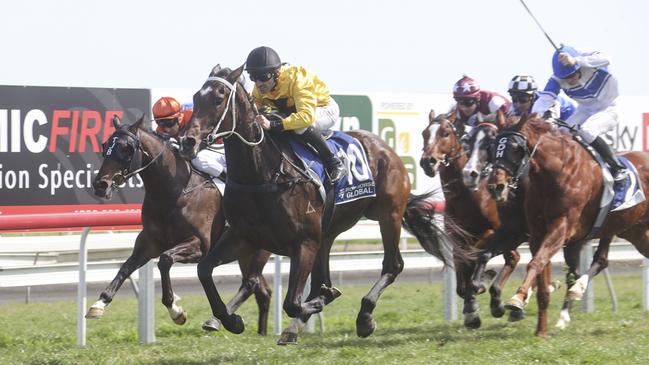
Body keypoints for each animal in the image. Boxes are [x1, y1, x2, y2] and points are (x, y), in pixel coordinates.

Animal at [88, 115, 270, 334]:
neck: (174, 191)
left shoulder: (200, 245)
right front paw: (99, 303)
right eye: (105, 145)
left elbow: (165, 260)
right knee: (262, 290)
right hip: (244, 250)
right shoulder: (149, 242)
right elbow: (126, 267)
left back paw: (223, 321)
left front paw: (175, 309)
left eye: (127, 148)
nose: (100, 185)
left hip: (261, 247)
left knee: (251, 282)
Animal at [178, 64, 450, 342]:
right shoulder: (243, 236)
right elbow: (204, 270)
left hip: (389, 214)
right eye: (196, 98)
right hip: (328, 233)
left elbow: (293, 302)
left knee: (393, 265)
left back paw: (364, 317)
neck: (263, 174)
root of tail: (387, 149)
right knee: (323, 278)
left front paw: (321, 301)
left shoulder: (304, 242)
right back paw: (297, 326)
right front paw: (230, 320)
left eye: (218, 98)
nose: (187, 141)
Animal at [420, 111, 532, 328]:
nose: (427, 162)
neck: (468, 196)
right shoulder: (457, 237)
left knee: (515, 258)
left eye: (445, 133)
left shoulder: (492, 233)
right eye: (424, 134)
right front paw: (472, 307)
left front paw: (476, 294)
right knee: (515, 258)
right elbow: (461, 278)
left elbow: (474, 259)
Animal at [488, 114, 649, 336]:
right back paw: (573, 296)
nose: (496, 187)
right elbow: (540, 269)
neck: (556, 172)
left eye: (514, 148)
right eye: (494, 146)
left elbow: (536, 263)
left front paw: (518, 299)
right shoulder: (538, 233)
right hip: (632, 230)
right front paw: (541, 330)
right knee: (601, 260)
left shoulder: (562, 228)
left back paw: (575, 292)